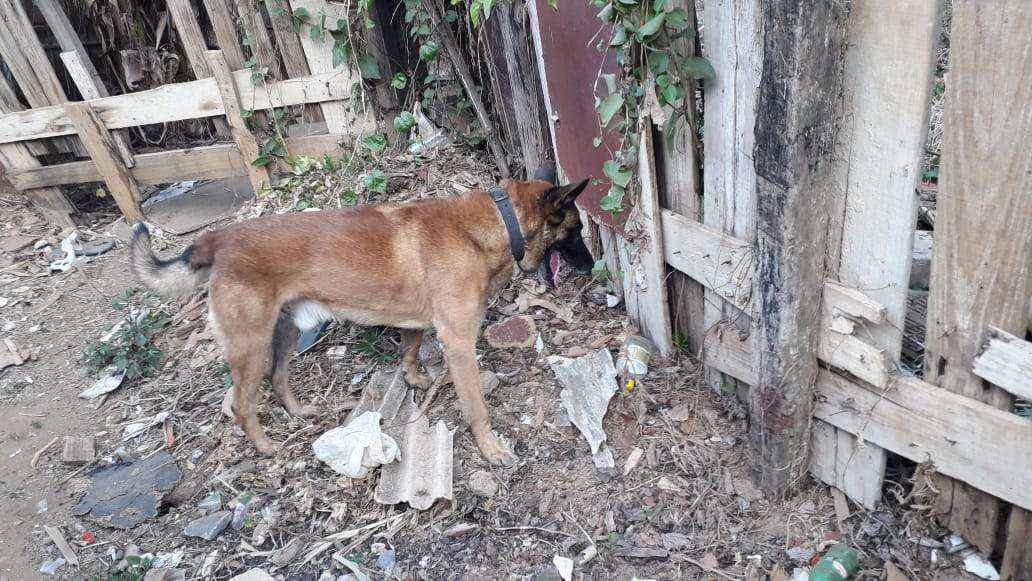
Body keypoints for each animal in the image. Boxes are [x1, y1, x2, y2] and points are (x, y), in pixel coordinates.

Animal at [130, 164, 592, 465]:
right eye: (576, 231)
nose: (591, 267)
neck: (499, 219)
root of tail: (218, 239)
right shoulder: (460, 343)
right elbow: (477, 407)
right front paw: (491, 449)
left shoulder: (415, 324)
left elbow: (410, 350)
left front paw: (413, 379)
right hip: (251, 343)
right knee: (242, 403)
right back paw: (264, 447)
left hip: (284, 331)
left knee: (275, 379)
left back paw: (300, 413)